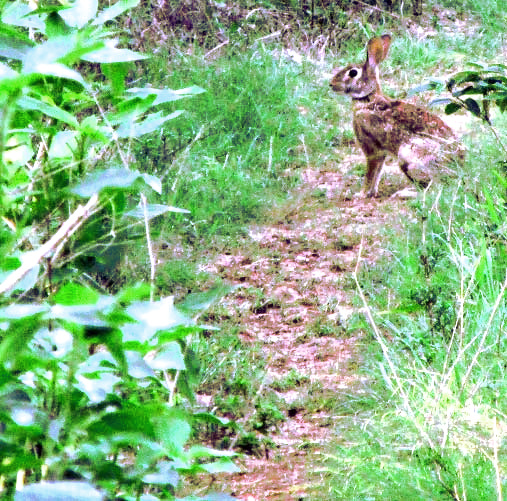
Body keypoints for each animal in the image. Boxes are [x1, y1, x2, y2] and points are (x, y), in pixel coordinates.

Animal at [330, 33, 464, 196]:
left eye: (353, 73)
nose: (331, 84)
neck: (368, 97)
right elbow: (377, 172)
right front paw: (371, 193)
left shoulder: (372, 148)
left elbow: (371, 172)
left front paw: (361, 194)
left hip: (409, 156)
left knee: (435, 187)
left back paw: (404, 193)